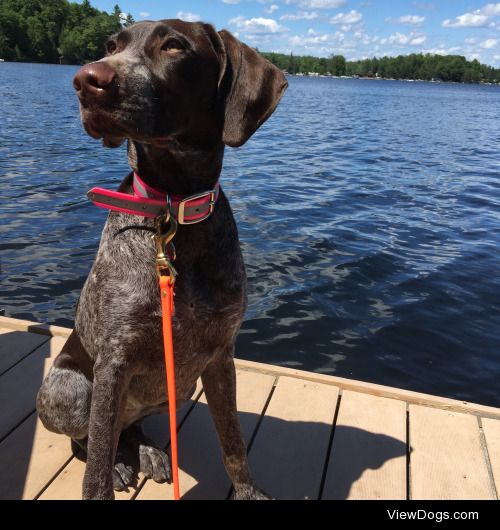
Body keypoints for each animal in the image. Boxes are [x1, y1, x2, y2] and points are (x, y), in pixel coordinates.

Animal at [35, 18, 288, 498]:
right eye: (111, 45)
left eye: (173, 46)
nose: (85, 80)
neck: (172, 210)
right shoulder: (113, 364)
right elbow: (94, 470)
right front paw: (107, 470)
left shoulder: (220, 357)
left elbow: (234, 448)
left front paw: (249, 491)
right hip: (69, 391)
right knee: (90, 440)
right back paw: (121, 461)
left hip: (177, 388)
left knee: (129, 428)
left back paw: (147, 450)